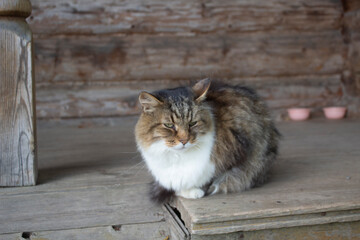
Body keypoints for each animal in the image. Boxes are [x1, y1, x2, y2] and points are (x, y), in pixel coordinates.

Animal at [134, 79, 280, 202]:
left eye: (192, 123)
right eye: (169, 125)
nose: (184, 140)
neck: (177, 157)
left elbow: (212, 178)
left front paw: (193, 191)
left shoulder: (237, 150)